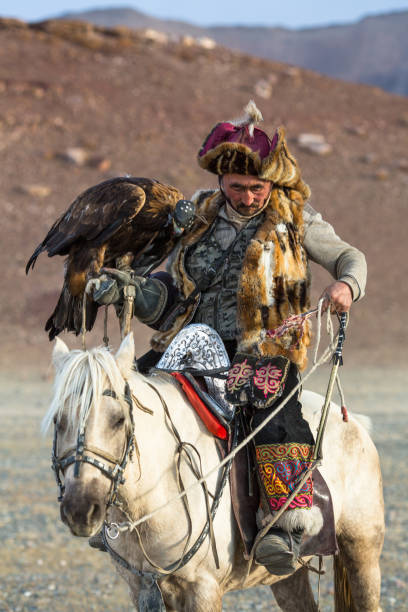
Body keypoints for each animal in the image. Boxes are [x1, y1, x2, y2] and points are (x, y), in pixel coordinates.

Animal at [45, 334, 386, 612]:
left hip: (362, 551)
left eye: (118, 420)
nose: (80, 509)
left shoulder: (203, 589)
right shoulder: (142, 589)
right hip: (287, 575)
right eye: (58, 420)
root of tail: (352, 420)